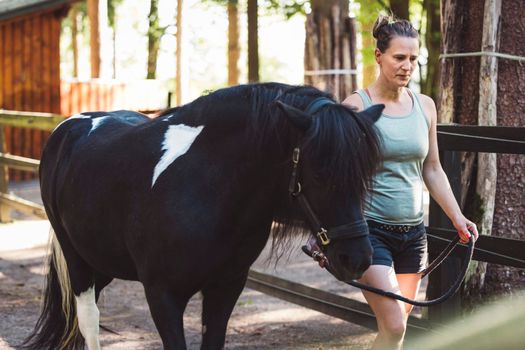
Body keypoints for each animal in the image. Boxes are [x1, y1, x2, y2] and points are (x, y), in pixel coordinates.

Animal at [22, 83, 380, 348]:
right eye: (319, 173)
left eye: (364, 174)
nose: (357, 258)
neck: (207, 186)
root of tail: (68, 128)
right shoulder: (162, 295)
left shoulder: (225, 288)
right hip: (77, 258)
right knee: (89, 319)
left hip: (104, 261)